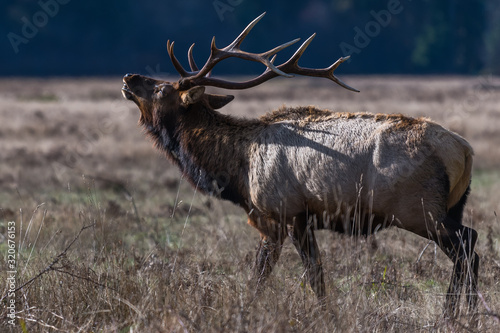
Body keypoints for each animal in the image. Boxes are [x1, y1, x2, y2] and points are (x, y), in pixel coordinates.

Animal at [123, 13, 478, 316]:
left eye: (161, 89)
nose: (129, 76)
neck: (237, 170)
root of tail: (464, 150)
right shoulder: (300, 220)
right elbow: (311, 275)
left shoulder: (282, 213)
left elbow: (273, 277)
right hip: (452, 206)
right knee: (470, 243)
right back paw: (466, 314)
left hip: (420, 210)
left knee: (467, 248)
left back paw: (453, 314)